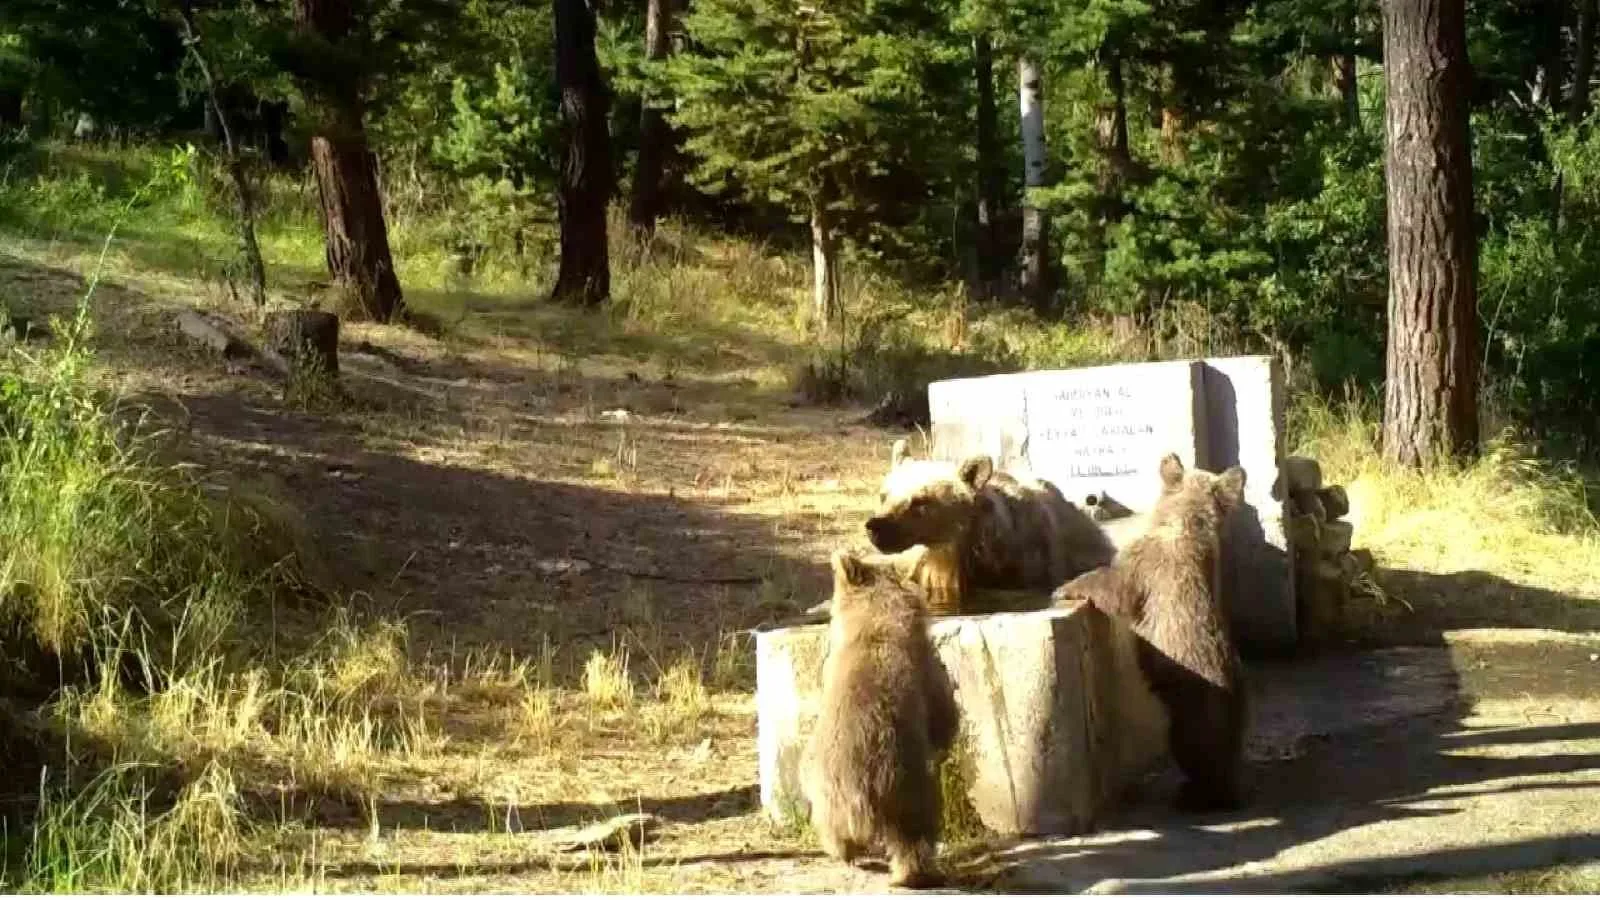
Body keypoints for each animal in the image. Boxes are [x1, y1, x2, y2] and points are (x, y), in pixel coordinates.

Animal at [800, 547, 960, 883]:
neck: (877, 623)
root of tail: (861, 792)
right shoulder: (926, 669)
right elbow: (944, 714)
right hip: (903, 781)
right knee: (913, 832)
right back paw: (909, 873)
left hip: (827, 781)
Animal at [1056, 451, 1254, 810]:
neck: (1186, 523)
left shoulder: (1147, 568)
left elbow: (1114, 586)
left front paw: (1066, 587)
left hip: (1194, 714)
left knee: (1198, 757)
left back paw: (1194, 794)